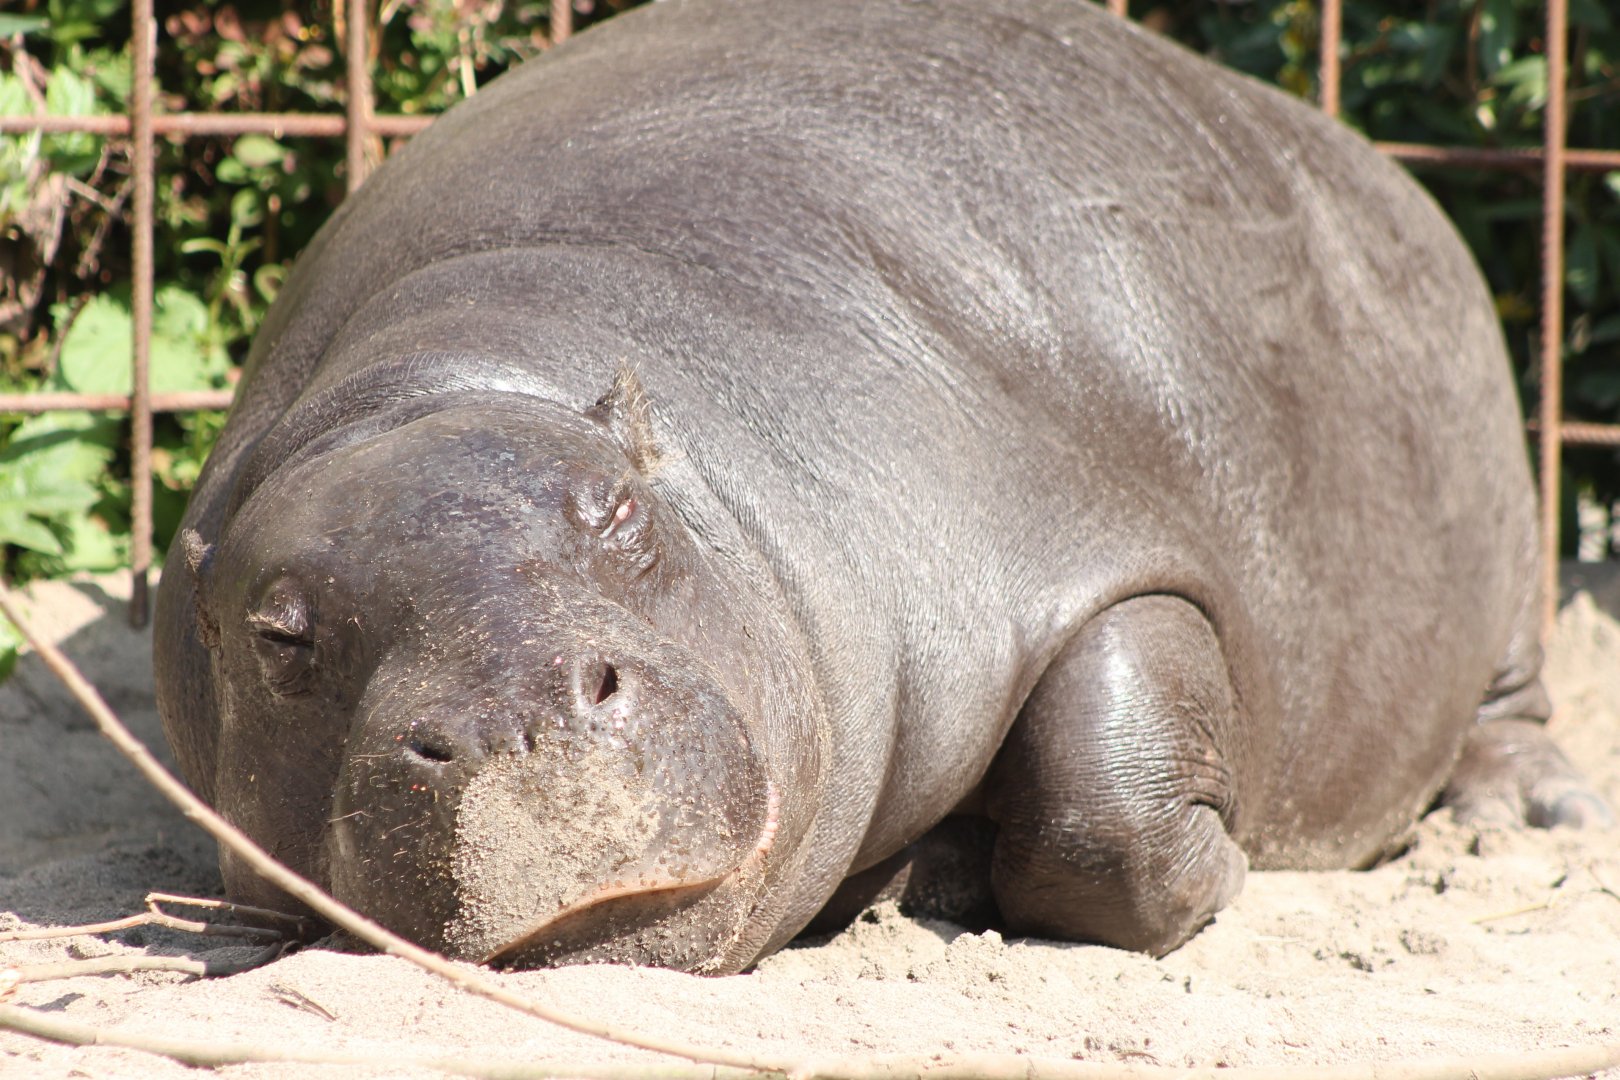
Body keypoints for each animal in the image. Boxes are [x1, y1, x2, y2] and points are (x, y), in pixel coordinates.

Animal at [154, 0, 1611, 974]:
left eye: (623, 519)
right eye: (277, 637)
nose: (514, 725)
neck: (460, 371)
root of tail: (1371, 164)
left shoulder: (1073, 552)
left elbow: (1111, 800)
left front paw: (1198, 863)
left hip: (1491, 550)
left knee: (1508, 700)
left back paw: (1529, 812)